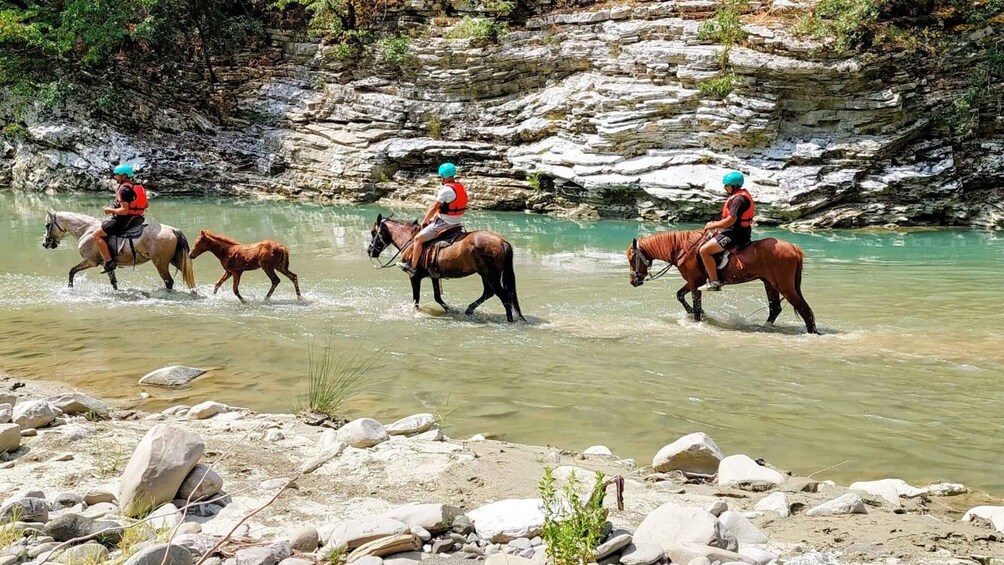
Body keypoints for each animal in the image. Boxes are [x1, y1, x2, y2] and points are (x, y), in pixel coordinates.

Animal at [42, 210, 196, 291]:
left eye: (47, 225)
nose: (45, 243)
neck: (87, 230)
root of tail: (174, 230)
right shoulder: (107, 265)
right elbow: (114, 282)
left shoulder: (90, 261)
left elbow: (72, 271)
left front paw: (70, 287)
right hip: (177, 260)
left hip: (161, 264)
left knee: (169, 281)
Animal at [367, 214, 526, 322]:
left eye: (374, 232)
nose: (369, 251)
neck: (410, 239)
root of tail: (502, 242)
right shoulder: (434, 277)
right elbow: (437, 297)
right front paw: (451, 310)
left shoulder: (414, 277)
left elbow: (416, 300)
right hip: (485, 275)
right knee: (489, 293)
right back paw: (468, 310)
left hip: (490, 275)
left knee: (504, 298)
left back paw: (509, 321)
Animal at [626, 230, 818, 334]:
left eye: (630, 258)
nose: (633, 281)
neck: (683, 248)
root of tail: (794, 248)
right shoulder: (695, 281)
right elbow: (680, 295)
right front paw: (697, 312)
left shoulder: (695, 282)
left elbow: (695, 306)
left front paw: (697, 318)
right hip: (769, 283)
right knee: (775, 308)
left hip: (784, 286)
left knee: (804, 310)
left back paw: (812, 333)